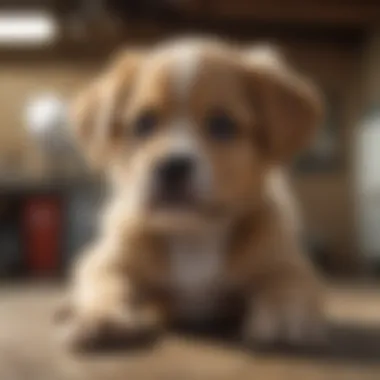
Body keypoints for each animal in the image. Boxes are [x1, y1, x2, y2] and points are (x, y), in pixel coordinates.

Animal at [58, 37, 326, 348]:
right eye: (143, 123)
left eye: (222, 124)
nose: (172, 166)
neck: (193, 234)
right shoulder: (106, 260)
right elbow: (107, 285)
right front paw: (102, 316)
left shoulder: (287, 263)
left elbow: (286, 286)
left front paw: (286, 318)